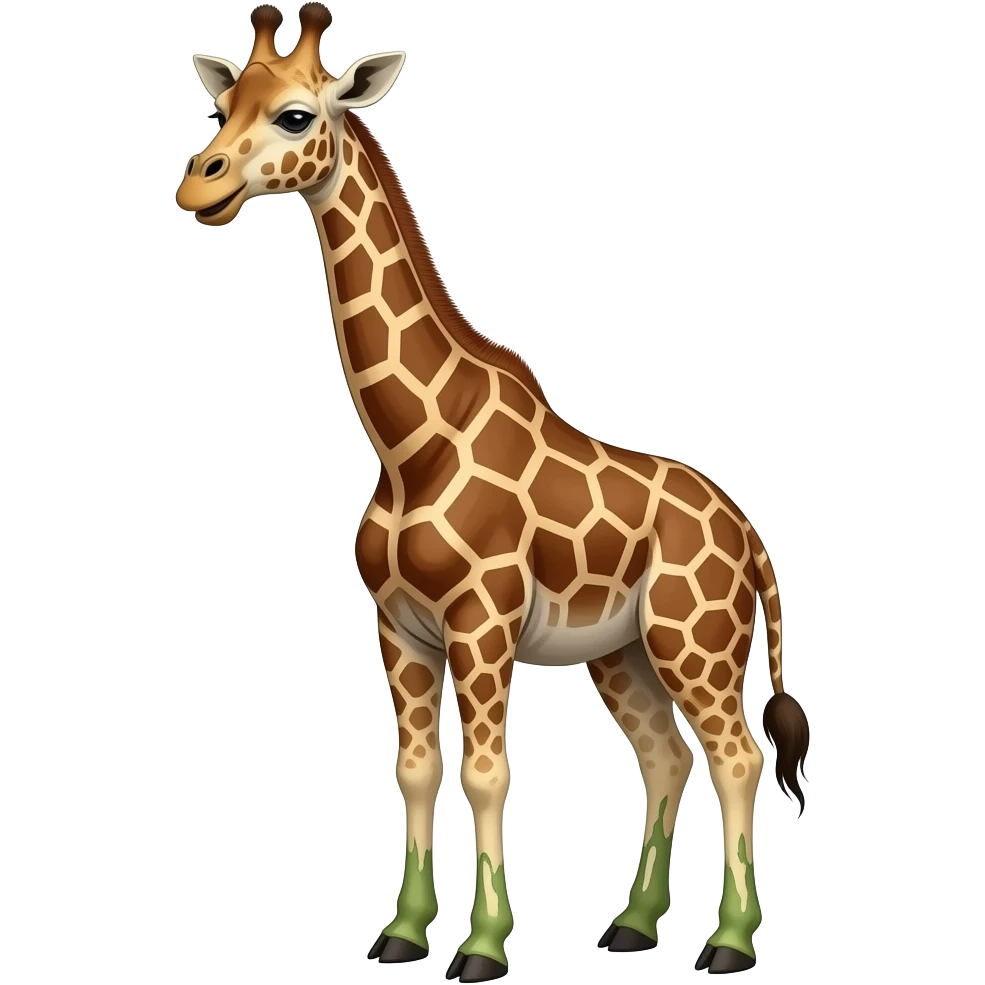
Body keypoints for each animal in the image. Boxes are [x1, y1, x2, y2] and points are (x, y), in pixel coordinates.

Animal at [175, 5, 812, 979]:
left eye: (295, 115)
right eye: (224, 105)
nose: (196, 187)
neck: (412, 446)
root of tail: (750, 539)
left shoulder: (482, 624)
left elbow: (486, 774)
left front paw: (479, 947)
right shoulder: (398, 628)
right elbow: (413, 770)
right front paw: (403, 934)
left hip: (692, 635)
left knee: (734, 754)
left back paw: (729, 944)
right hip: (621, 650)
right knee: (666, 756)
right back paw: (632, 925)